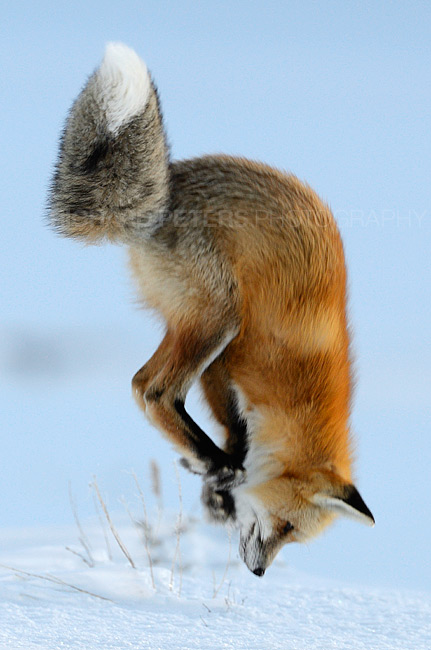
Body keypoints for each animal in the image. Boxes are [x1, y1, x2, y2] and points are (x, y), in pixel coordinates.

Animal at [48, 43, 374, 576]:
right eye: (286, 526)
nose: (259, 573)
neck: (299, 391)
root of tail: (169, 186)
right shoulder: (240, 356)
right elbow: (229, 435)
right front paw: (222, 475)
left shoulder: (223, 372)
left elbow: (233, 431)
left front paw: (218, 489)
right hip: (219, 317)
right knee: (152, 389)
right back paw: (214, 460)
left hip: (193, 323)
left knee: (146, 387)